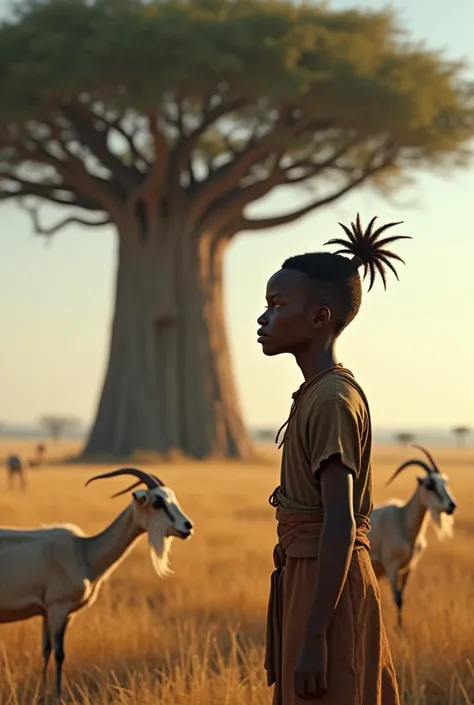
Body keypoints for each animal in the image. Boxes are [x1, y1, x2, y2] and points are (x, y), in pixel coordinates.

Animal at [0, 464, 194, 700]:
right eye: (158, 503)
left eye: (172, 498)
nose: (188, 527)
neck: (85, 551)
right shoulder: (58, 609)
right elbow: (59, 653)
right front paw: (58, 696)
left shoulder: (50, 612)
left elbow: (45, 651)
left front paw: (42, 694)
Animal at [370, 446, 456, 628]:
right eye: (430, 485)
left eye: (444, 482)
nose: (451, 506)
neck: (402, 520)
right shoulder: (392, 567)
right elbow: (397, 598)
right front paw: (399, 629)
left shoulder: (408, 568)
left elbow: (402, 598)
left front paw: (401, 628)